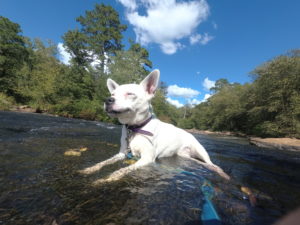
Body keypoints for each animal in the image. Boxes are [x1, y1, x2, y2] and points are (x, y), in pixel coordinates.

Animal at [80, 69, 230, 184]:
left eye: (130, 94)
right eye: (112, 94)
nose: (107, 100)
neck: (135, 127)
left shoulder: (147, 158)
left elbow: (123, 170)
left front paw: (109, 178)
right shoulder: (122, 154)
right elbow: (104, 162)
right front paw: (90, 169)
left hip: (200, 151)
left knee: (211, 164)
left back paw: (221, 172)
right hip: (184, 155)